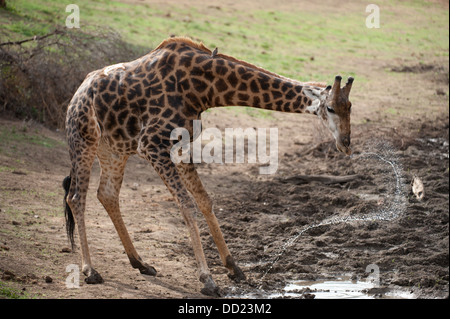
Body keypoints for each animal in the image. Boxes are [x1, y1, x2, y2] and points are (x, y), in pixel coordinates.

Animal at [61, 36, 354, 296]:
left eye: (350, 107)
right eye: (329, 108)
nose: (346, 143)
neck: (202, 89)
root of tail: (76, 94)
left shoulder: (179, 147)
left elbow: (204, 200)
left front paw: (234, 268)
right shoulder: (152, 145)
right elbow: (187, 205)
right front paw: (208, 280)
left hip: (114, 149)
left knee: (107, 194)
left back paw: (141, 263)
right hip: (84, 139)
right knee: (75, 196)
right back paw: (90, 271)